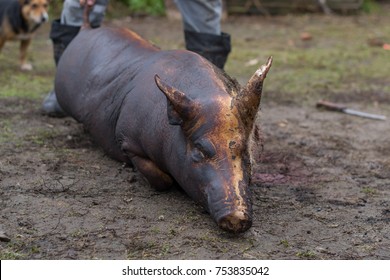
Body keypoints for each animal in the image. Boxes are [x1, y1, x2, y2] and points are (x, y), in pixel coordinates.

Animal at [55, 24, 272, 234]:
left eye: (244, 149)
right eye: (199, 149)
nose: (237, 217)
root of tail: (85, 29)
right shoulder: (127, 140)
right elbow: (160, 179)